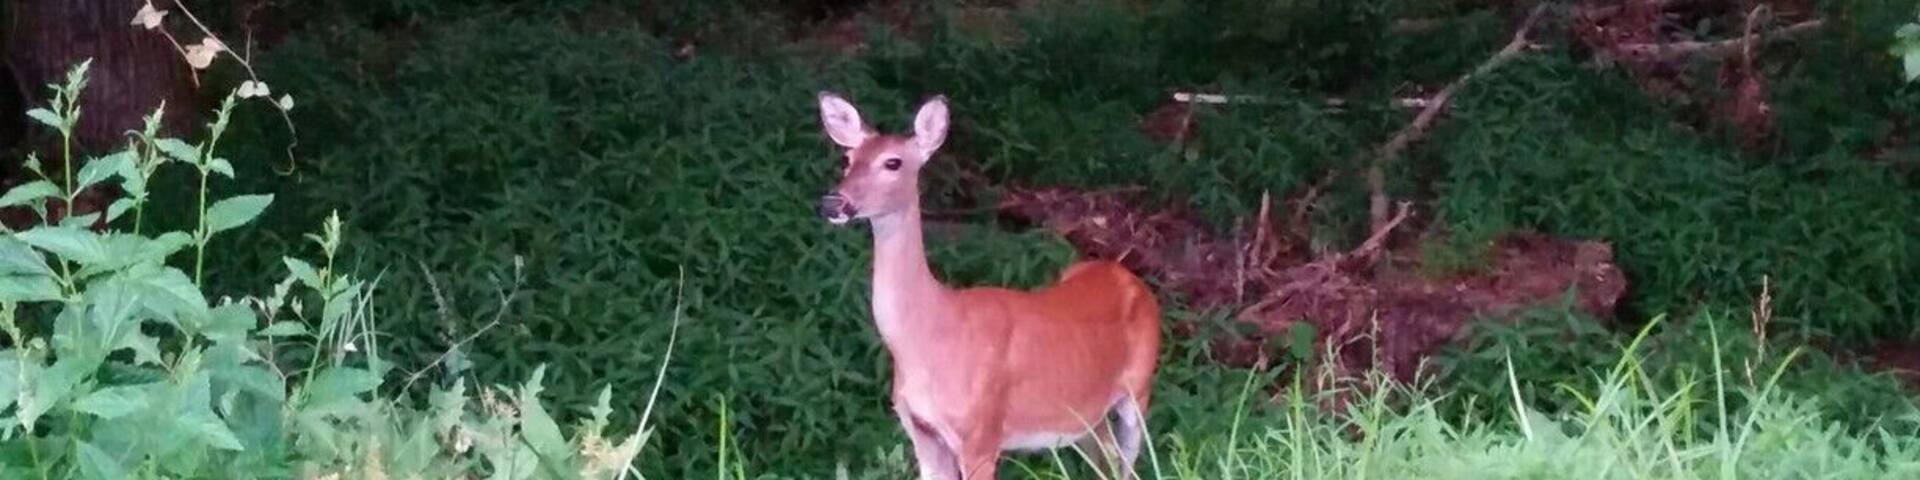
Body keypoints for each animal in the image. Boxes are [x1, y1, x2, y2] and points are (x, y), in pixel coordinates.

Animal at [813, 91, 1164, 479]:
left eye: (893, 162)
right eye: (848, 159)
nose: (833, 202)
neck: (930, 336)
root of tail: (1128, 277)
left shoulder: (981, 433)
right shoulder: (920, 430)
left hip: (1139, 388)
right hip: (1086, 413)